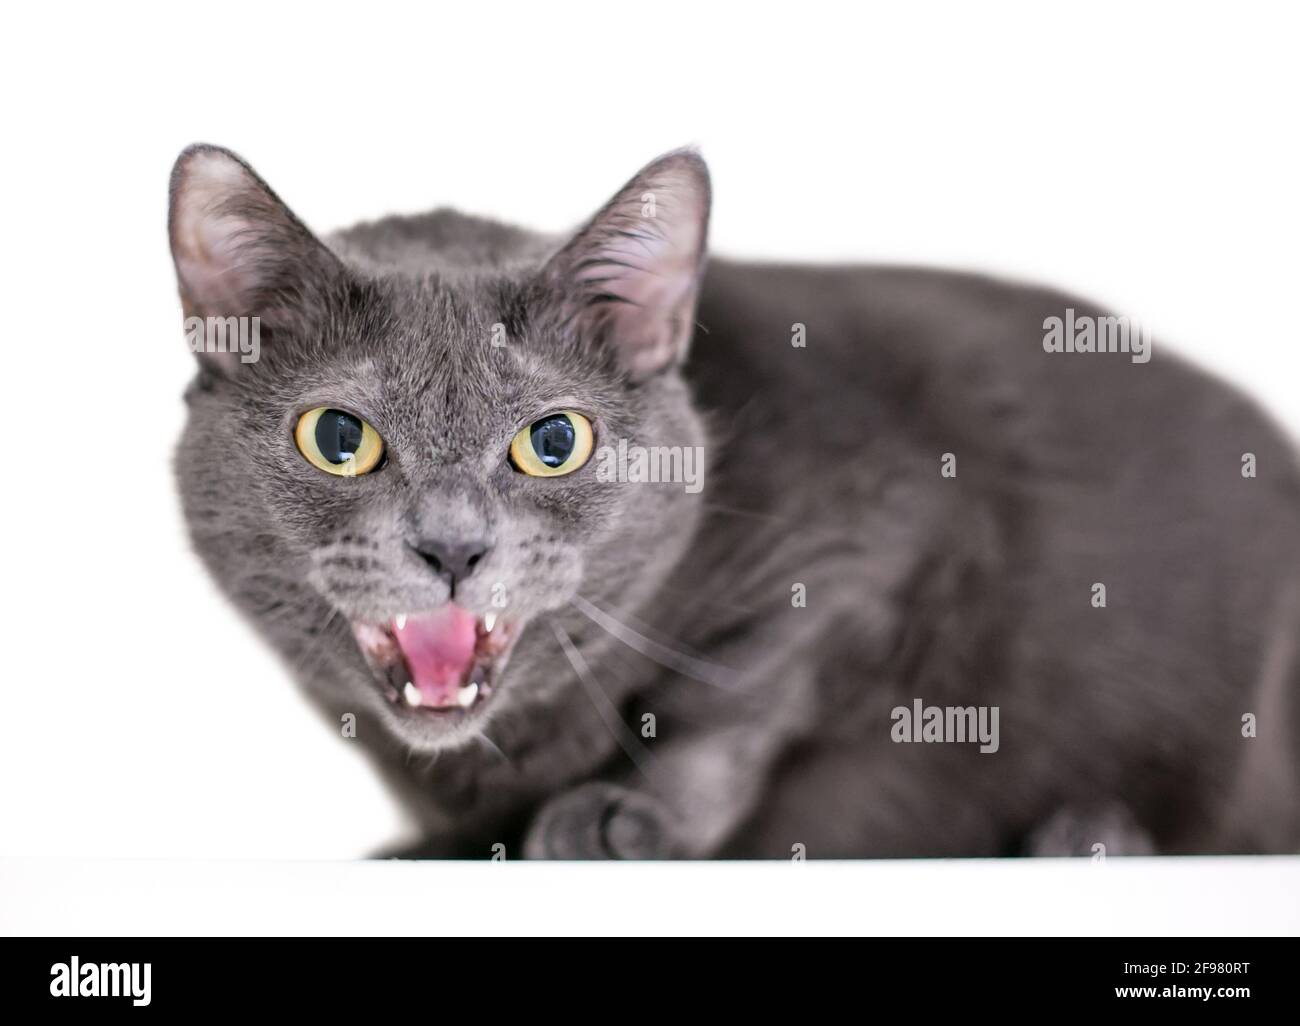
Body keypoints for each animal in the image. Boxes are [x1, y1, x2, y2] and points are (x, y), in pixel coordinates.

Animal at [167, 144, 1294, 858]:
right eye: (340, 439)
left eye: (553, 442)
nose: (453, 548)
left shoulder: (881, 541)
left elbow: (733, 695)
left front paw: (622, 821)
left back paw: (1090, 837)